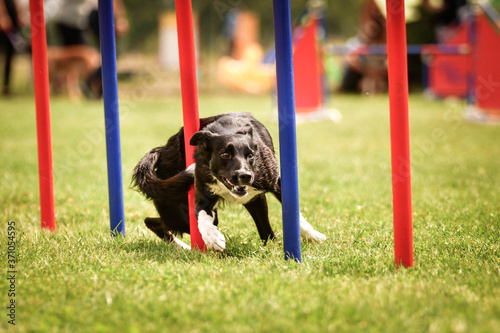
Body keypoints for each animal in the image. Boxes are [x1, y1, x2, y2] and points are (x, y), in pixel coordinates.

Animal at [133, 111, 326, 249]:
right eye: (225, 154)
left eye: (251, 155)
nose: (245, 176)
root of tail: (162, 150)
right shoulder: (202, 194)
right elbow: (201, 216)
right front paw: (213, 238)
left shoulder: (272, 184)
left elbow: (293, 212)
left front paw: (313, 235)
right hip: (179, 209)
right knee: (154, 221)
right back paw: (185, 246)